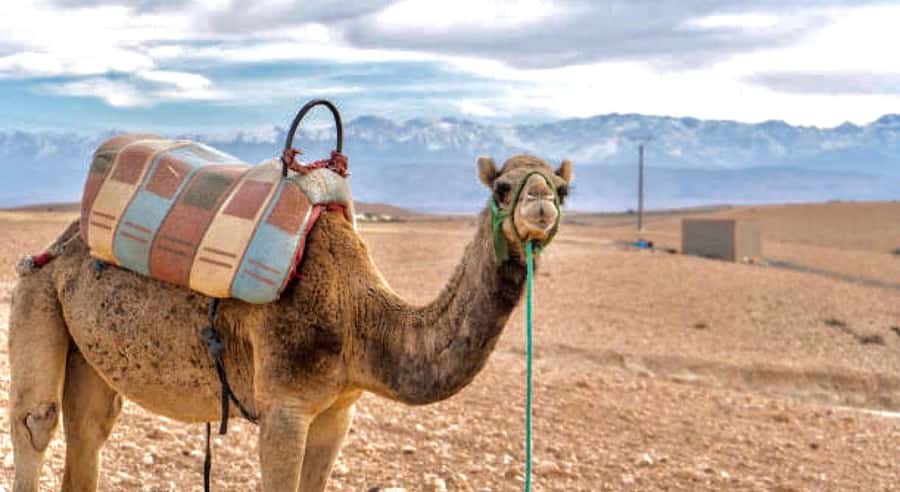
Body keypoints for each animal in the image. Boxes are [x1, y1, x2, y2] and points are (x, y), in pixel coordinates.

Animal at [8, 152, 573, 492]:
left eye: (564, 189)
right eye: (502, 187)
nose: (540, 204)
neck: (361, 318)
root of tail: (61, 243)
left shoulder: (338, 409)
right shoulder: (284, 405)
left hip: (91, 352)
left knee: (90, 430)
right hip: (35, 291)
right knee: (37, 422)